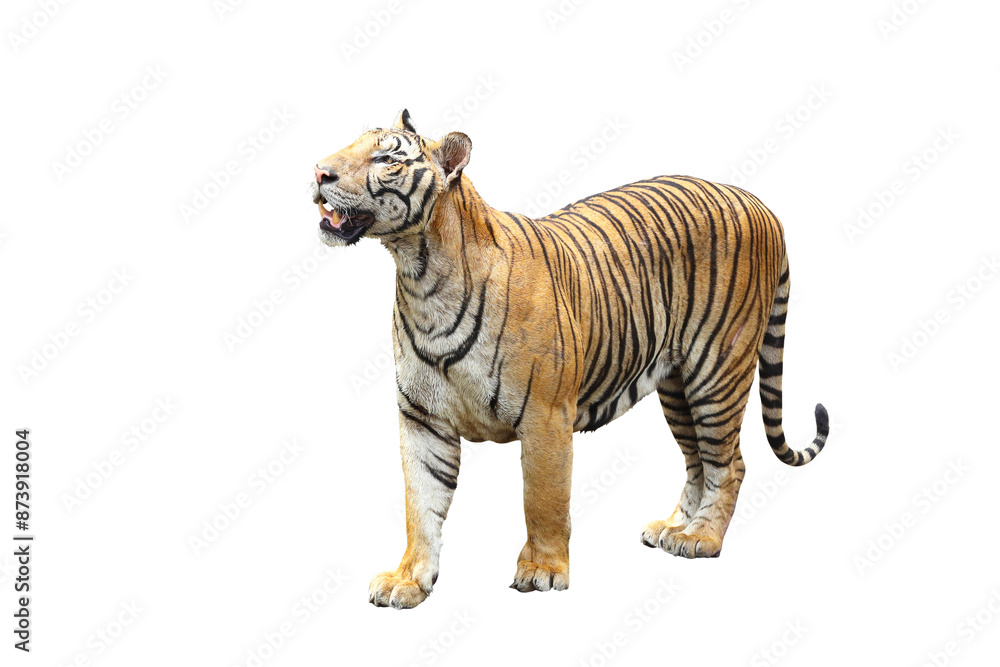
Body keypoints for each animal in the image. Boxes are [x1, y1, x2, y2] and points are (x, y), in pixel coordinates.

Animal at [311, 109, 829, 609]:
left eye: (386, 159)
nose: (318, 172)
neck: (421, 276)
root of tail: (761, 204)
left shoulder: (545, 417)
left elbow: (543, 499)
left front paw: (541, 571)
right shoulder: (422, 418)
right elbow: (420, 507)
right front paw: (408, 581)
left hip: (717, 372)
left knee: (730, 463)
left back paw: (701, 538)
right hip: (677, 387)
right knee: (697, 460)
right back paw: (673, 529)